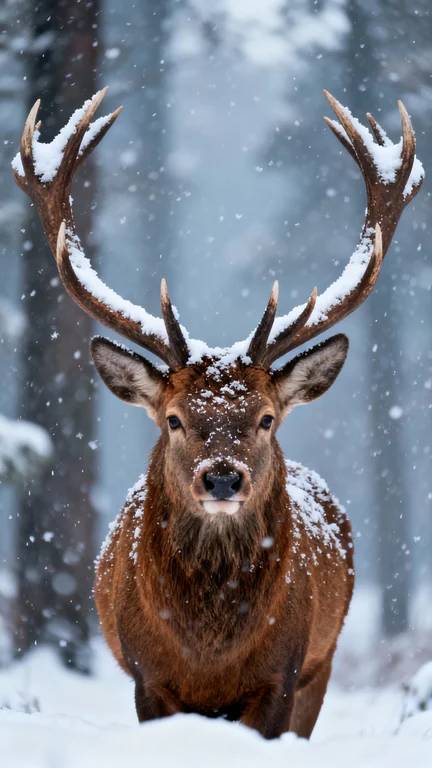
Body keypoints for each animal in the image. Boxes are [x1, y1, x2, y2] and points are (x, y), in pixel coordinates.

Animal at [13, 88, 423, 739]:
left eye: (266, 418)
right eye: (174, 419)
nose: (224, 477)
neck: (209, 653)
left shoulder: (283, 675)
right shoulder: (147, 677)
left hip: (325, 661)